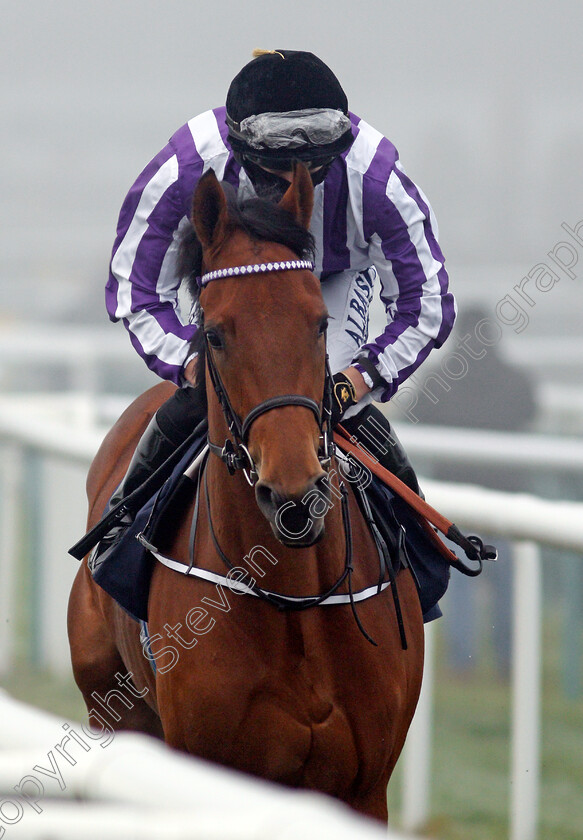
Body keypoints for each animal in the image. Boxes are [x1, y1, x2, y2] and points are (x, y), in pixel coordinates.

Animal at [69, 164, 424, 820]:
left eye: (319, 322)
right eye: (215, 334)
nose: (293, 489)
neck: (295, 600)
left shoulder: (364, 790)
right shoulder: (206, 774)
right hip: (114, 715)